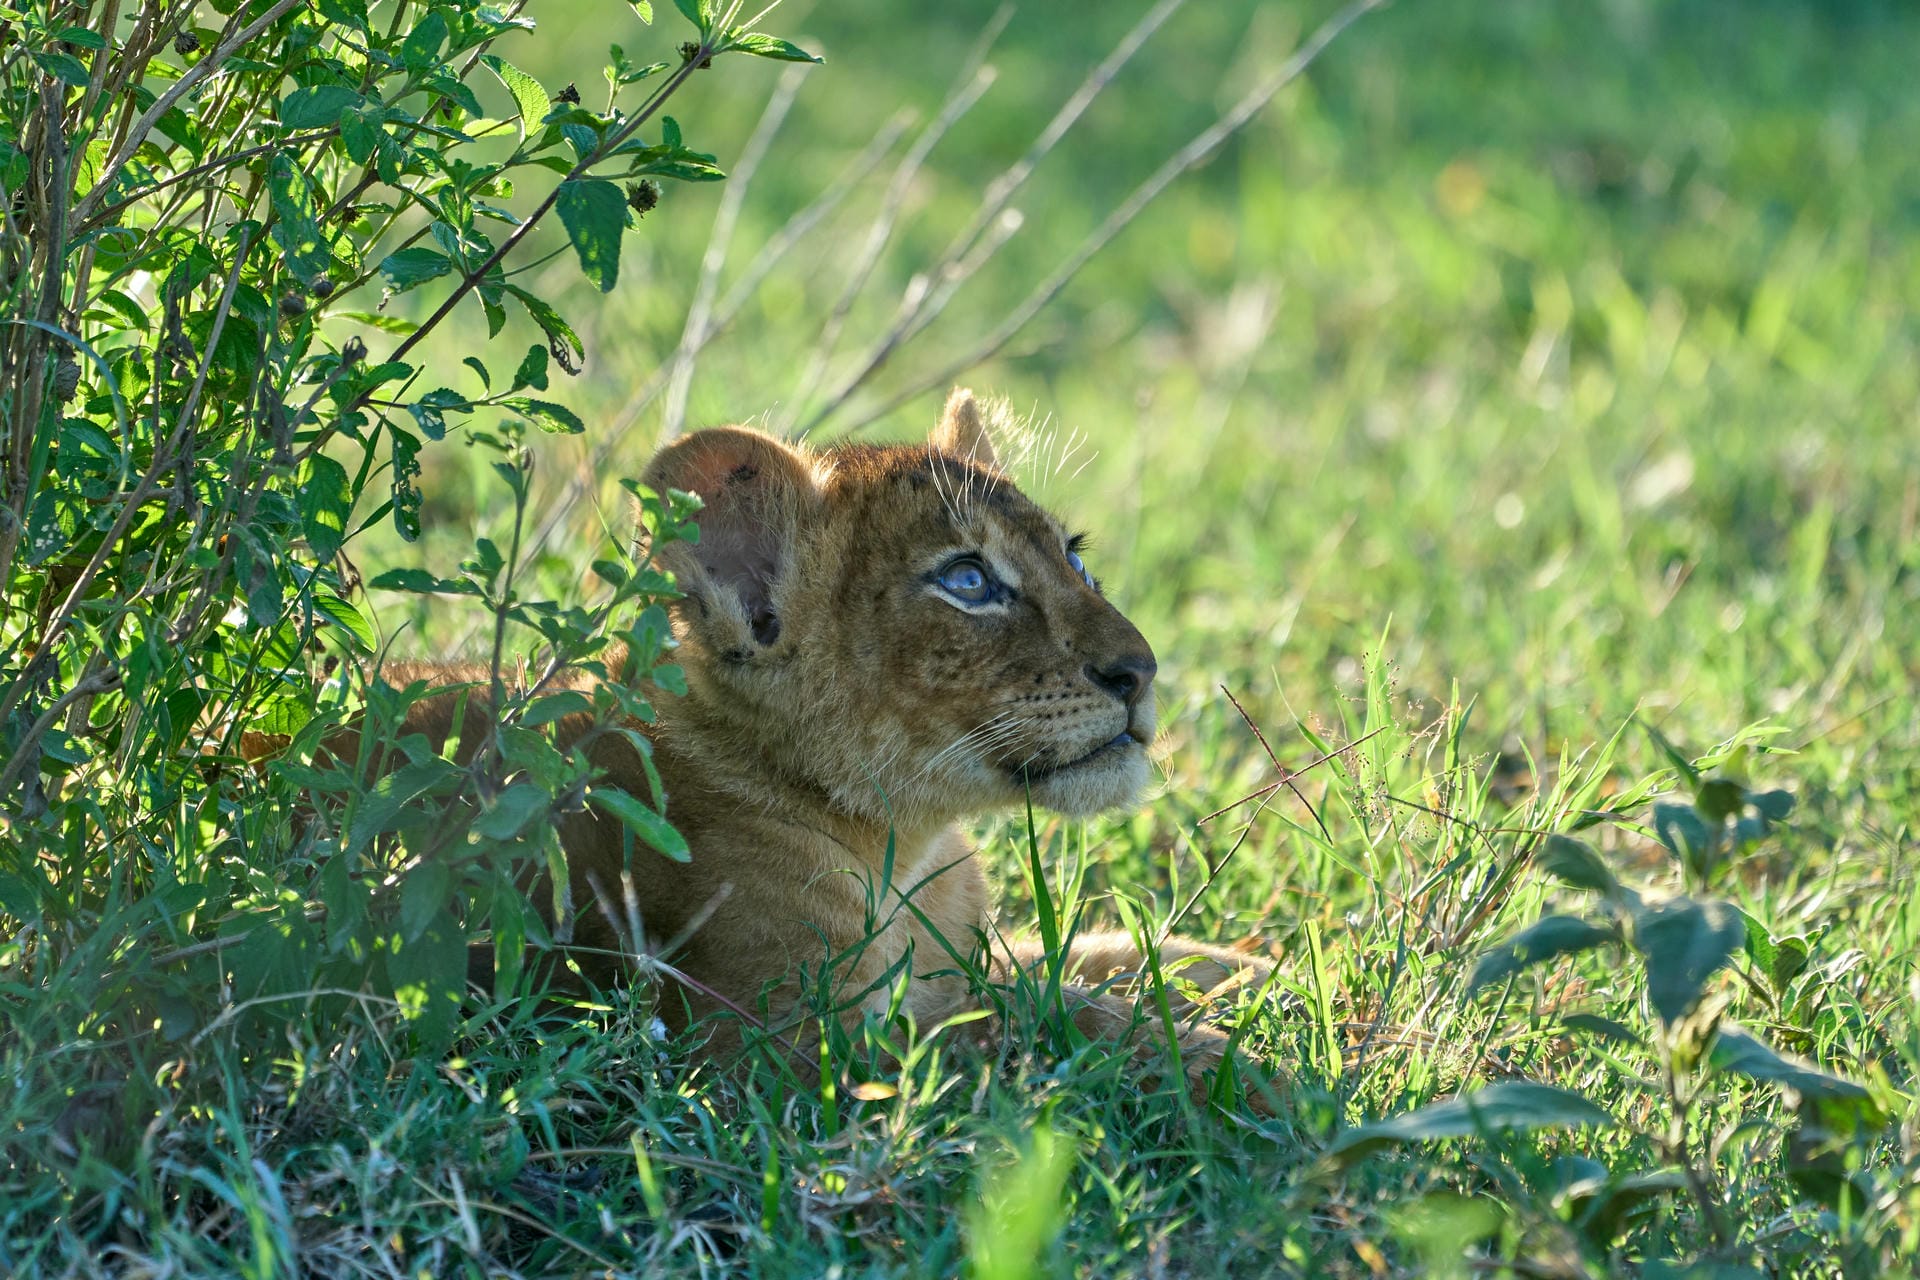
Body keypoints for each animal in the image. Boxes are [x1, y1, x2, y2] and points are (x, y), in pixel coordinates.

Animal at [381, 389, 1274, 1101]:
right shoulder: (780, 1051)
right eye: (969, 582)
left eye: (1075, 559)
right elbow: (1039, 1030)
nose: (1141, 671)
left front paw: (1239, 970)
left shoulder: (951, 960)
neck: (907, 848)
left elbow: (1062, 961)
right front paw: (1259, 1076)